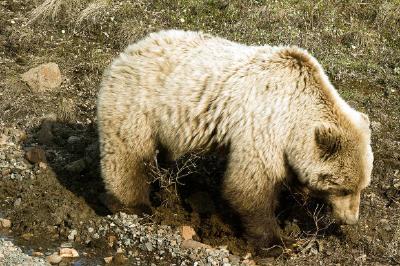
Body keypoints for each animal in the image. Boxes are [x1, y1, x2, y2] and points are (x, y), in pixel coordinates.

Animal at [96, 30, 372, 248]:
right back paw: (133, 204)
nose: (351, 219)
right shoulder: (263, 127)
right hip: (138, 104)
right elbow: (248, 185)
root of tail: (126, 52)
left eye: (362, 186)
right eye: (343, 187)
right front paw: (275, 241)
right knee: (128, 154)